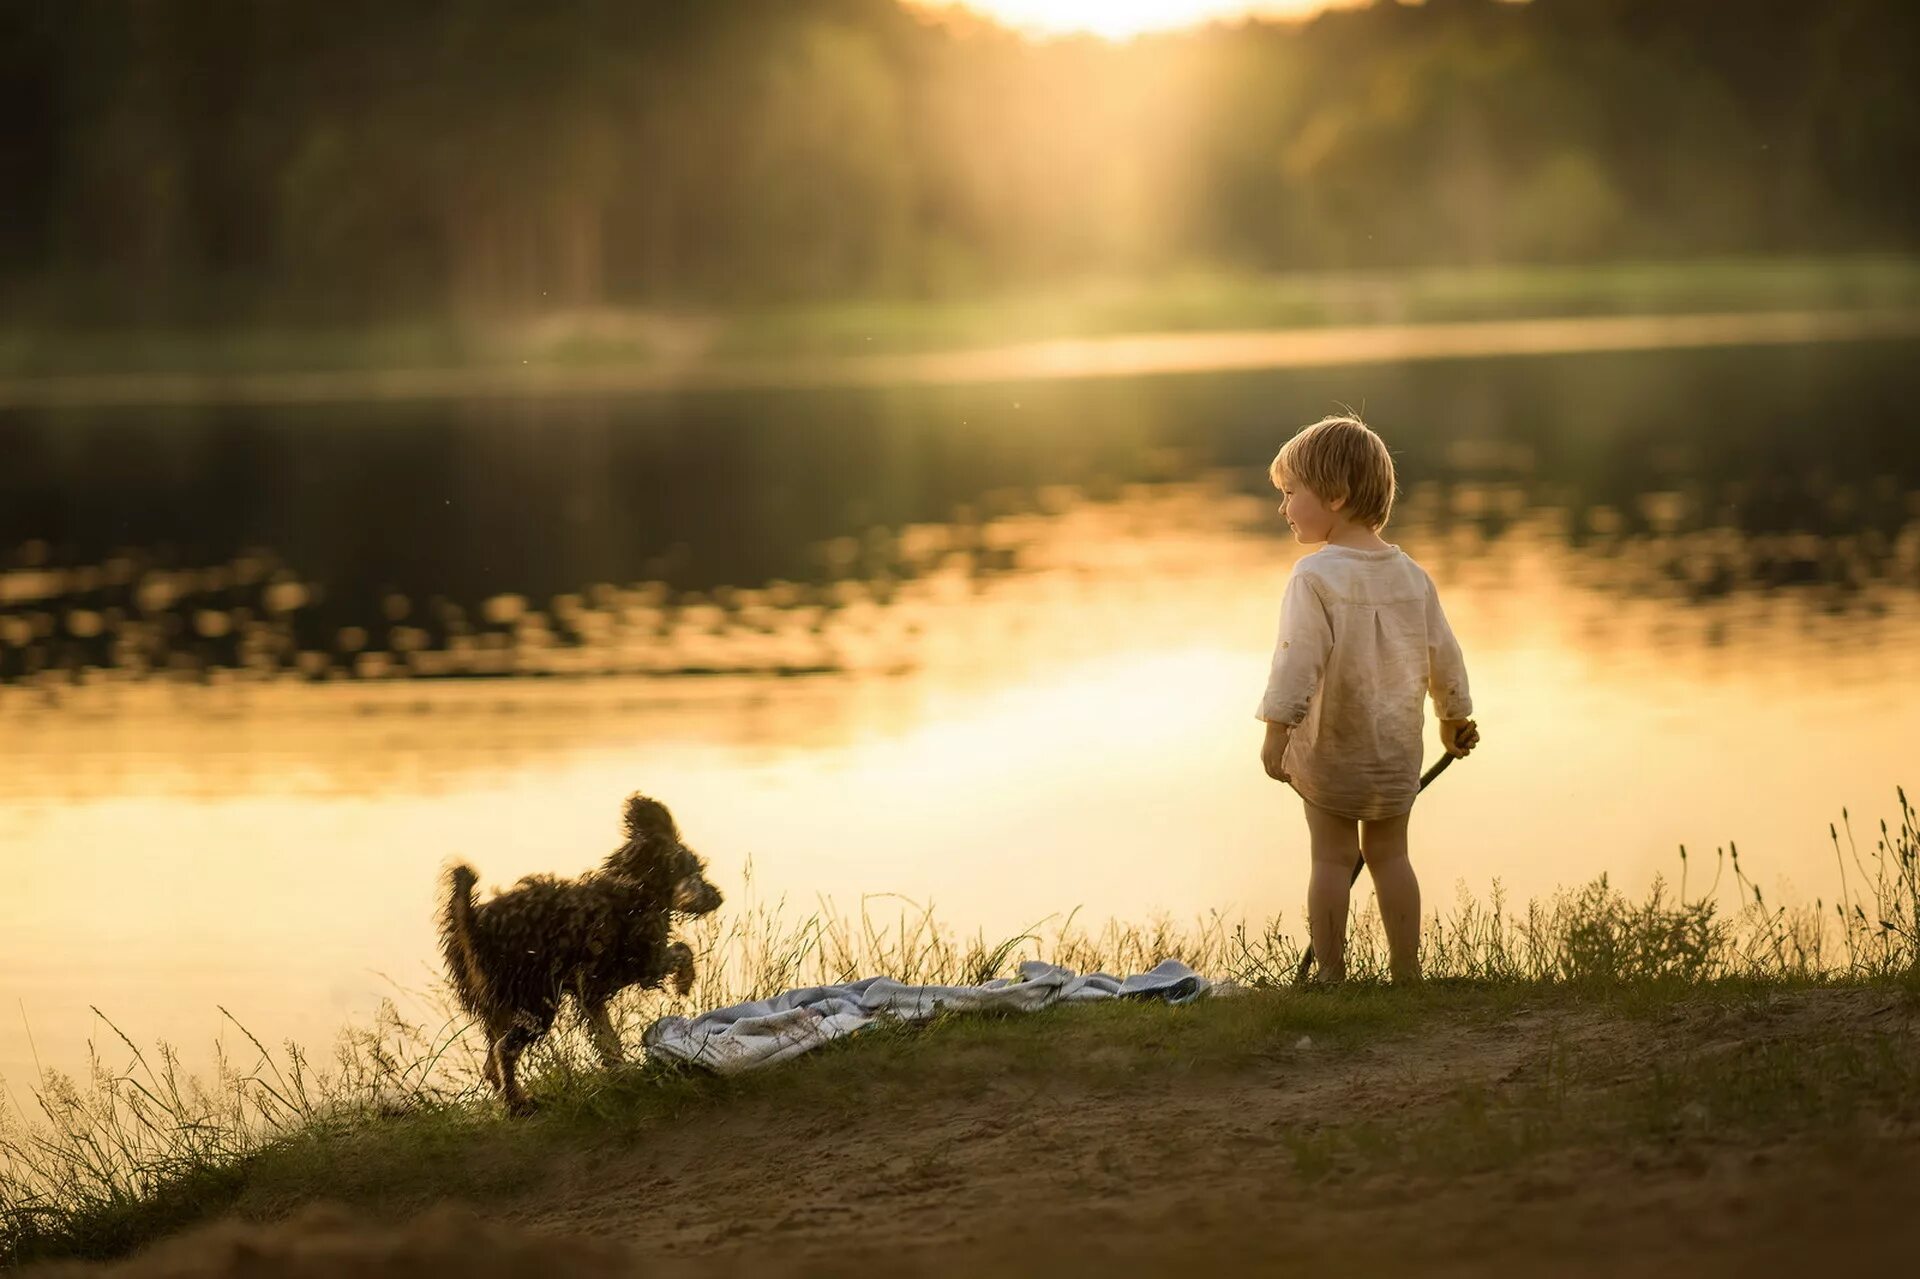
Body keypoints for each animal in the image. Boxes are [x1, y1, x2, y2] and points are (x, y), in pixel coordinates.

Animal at [439, 787, 721, 1106]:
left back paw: (509, 1096)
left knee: (491, 1059)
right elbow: (683, 950)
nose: (718, 897)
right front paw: (685, 981)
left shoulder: (591, 993)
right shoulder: (642, 962)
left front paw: (622, 1072)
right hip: (537, 1003)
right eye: (692, 871)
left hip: (502, 1007)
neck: (635, 887)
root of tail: (472, 924)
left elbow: (607, 1040)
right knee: (504, 1049)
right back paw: (518, 1102)